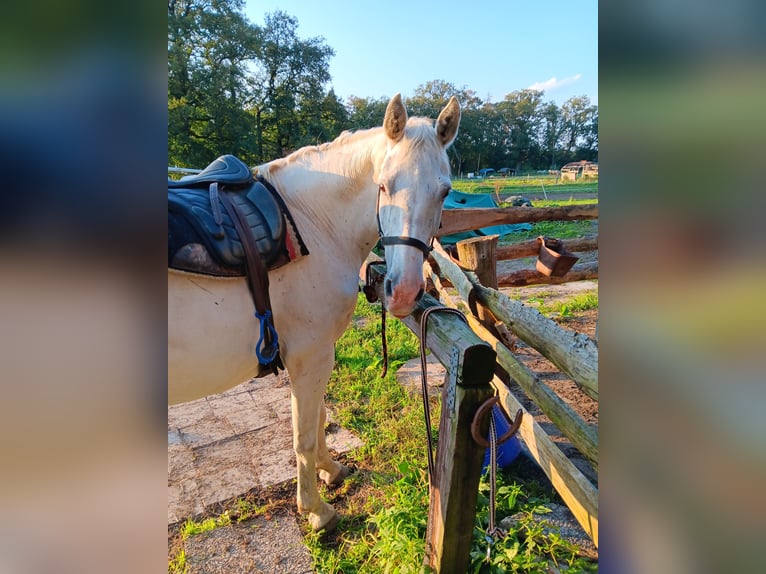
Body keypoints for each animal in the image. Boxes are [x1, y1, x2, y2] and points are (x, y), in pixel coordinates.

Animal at [170, 93, 462, 532]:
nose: (404, 293)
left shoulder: (318, 353)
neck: (310, 223)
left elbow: (320, 417)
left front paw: (330, 470)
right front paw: (315, 509)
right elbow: (304, 435)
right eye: (383, 184)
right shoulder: (309, 355)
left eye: (444, 192)